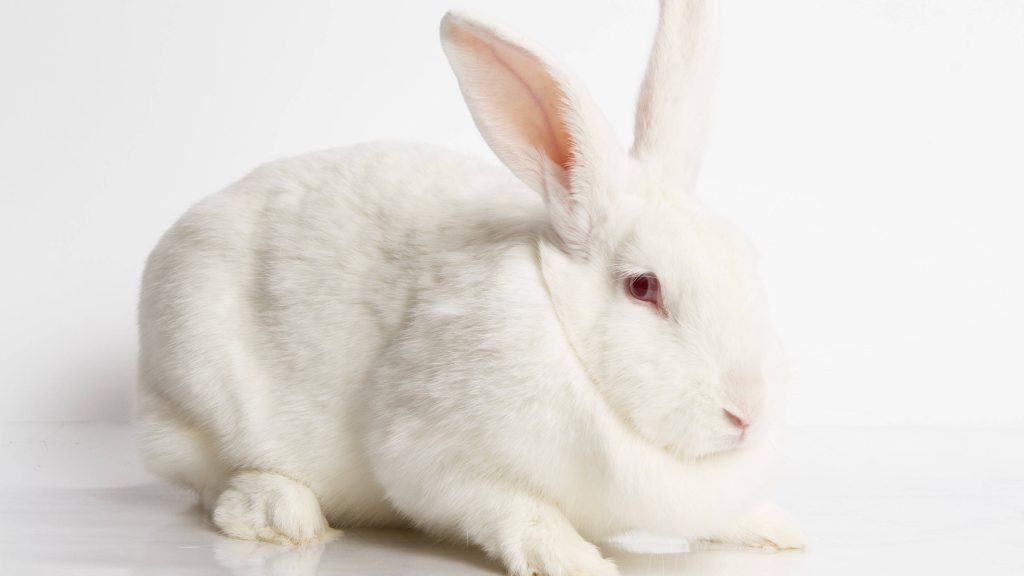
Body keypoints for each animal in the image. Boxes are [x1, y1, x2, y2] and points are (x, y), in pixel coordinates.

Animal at [136, 1, 805, 574]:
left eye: (747, 261)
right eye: (644, 287)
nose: (747, 412)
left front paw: (777, 530)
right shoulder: (435, 459)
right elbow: (514, 508)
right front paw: (571, 559)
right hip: (201, 391)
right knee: (212, 479)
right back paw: (283, 515)